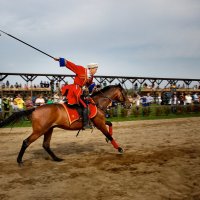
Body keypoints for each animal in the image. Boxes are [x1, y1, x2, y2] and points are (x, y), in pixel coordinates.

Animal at [0, 84, 130, 164]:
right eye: (124, 93)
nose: (129, 104)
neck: (97, 103)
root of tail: (35, 109)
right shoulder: (99, 123)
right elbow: (109, 135)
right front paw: (119, 148)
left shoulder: (100, 122)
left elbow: (110, 125)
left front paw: (110, 141)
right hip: (39, 130)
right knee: (26, 142)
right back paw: (19, 160)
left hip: (49, 129)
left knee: (46, 145)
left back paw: (57, 158)